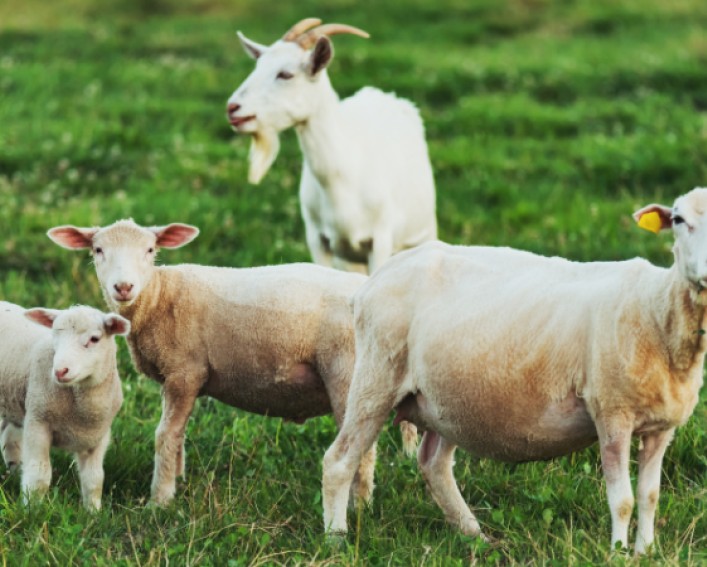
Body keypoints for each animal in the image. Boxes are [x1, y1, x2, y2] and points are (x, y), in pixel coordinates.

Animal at [0, 302, 129, 510]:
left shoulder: (99, 436)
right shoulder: (38, 422)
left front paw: (93, 512)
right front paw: (32, 510)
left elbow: (94, 479)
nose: (60, 371)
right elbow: (39, 475)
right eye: (55, 335)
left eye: (94, 339)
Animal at [47, 219, 378, 506]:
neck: (158, 296)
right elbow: (179, 435)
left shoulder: (185, 371)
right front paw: (178, 481)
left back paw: (358, 506)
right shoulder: (177, 376)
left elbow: (165, 435)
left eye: (150, 250)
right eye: (98, 250)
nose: (124, 287)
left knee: (362, 449)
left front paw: (160, 501)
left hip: (346, 372)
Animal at [226, 18, 438, 275]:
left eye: (286, 74)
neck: (341, 179)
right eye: (256, 68)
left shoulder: (380, 240)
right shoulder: (318, 240)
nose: (232, 107)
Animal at [322, 187, 707, 554]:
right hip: (377, 373)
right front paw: (617, 552)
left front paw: (646, 551)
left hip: (447, 401)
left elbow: (649, 497)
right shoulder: (612, 414)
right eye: (677, 219)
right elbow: (623, 500)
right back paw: (336, 540)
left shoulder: (661, 428)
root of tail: (373, 280)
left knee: (433, 463)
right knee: (339, 461)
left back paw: (475, 536)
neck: (657, 310)